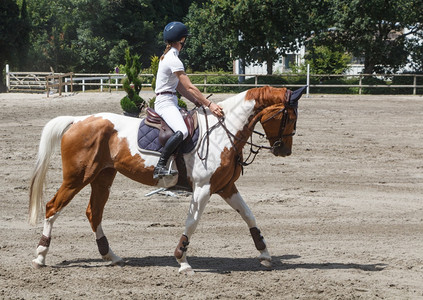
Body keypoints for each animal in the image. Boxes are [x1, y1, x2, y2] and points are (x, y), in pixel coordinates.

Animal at [28, 85, 304, 274]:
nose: (284, 150)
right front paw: (182, 260)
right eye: (289, 118)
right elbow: (192, 223)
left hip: (102, 177)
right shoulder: (203, 188)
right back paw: (40, 256)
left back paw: (112, 256)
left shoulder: (225, 186)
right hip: (77, 177)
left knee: (93, 212)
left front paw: (265, 254)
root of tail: (78, 120)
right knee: (53, 207)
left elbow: (249, 216)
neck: (225, 132)